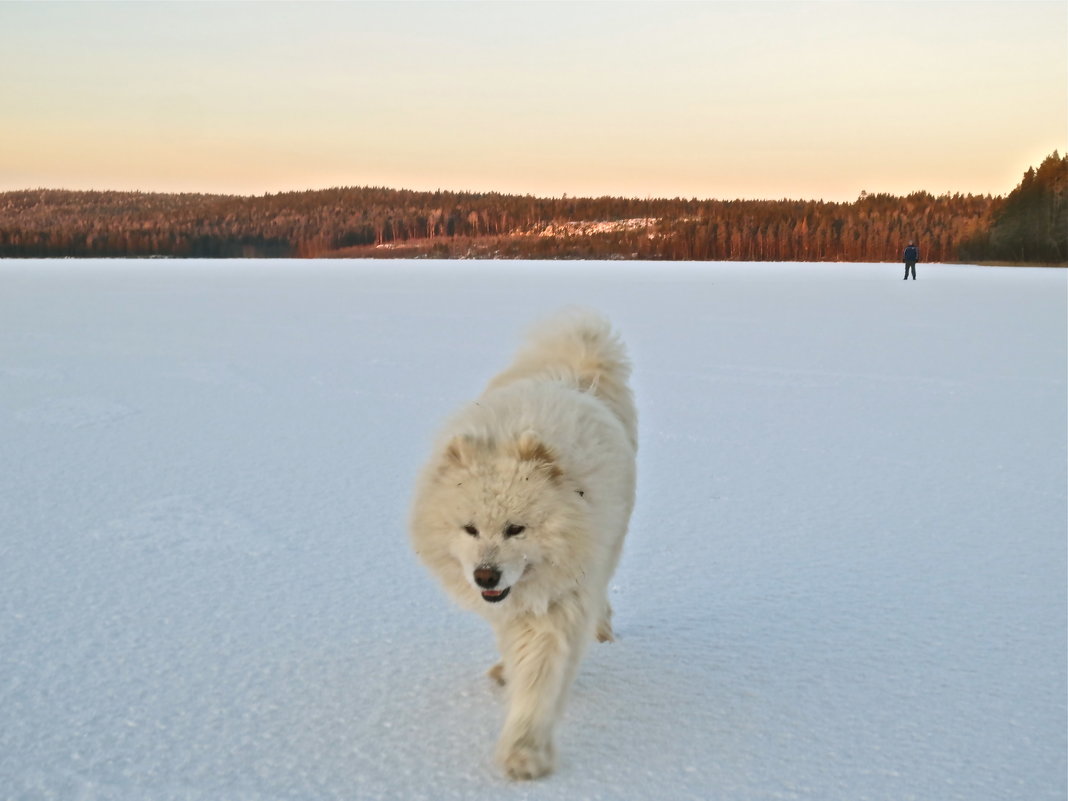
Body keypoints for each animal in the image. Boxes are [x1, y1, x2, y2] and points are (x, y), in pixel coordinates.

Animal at [405, 309, 632, 781]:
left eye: (516, 529)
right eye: (469, 529)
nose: (484, 576)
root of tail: (574, 368)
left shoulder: (560, 602)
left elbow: (540, 676)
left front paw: (525, 754)